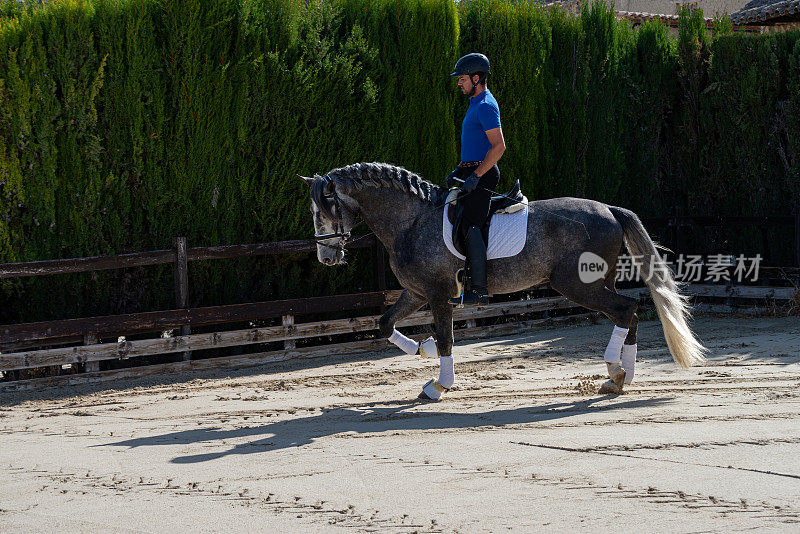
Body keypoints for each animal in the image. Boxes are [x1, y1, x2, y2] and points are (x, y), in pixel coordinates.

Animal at [302, 163, 708, 402]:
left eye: (325, 207)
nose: (326, 258)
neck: (411, 221)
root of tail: (609, 209)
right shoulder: (417, 292)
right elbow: (385, 323)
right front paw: (424, 350)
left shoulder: (438, 295)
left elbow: (446, 338)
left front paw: (438, 385)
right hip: (594, 284)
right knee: (631, 314)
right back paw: (620, 378)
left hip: (578, 285)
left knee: (627, 310)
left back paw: (614, 370)